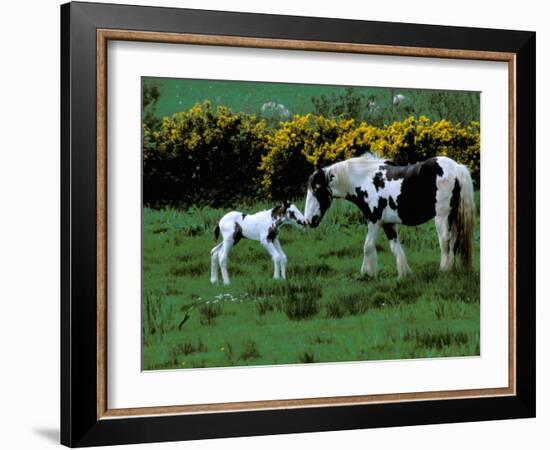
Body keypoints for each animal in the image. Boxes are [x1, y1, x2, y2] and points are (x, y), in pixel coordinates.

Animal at [304, 153, 476, 276]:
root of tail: (456, 167)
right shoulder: (388, 223)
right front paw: (404, 273)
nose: (309, 220)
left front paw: (367, 274)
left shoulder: (374, 220)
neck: (365, 180)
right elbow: (395, 247)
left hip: (442, 217)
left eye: (316, 189)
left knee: (445, 241)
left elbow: (368, 246)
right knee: (454, 241)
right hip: (453, 217)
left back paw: (444, 270)